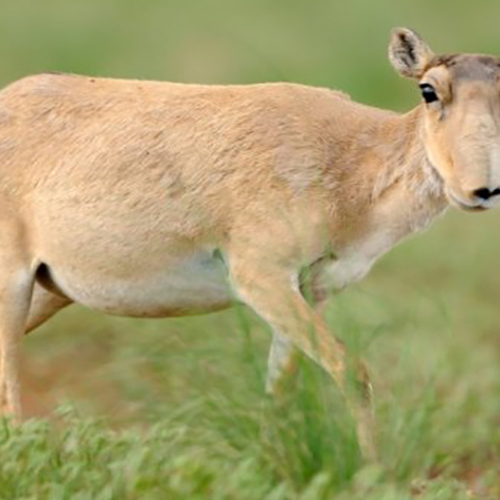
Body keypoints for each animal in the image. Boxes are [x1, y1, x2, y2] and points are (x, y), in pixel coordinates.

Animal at [0, 28, 500, 458]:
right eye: (428, 90)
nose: (482, 190)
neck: (352, 162)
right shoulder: (260, 277)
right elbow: (352, 370)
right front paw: (374, 471)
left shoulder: (311, 291)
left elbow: (280, 388)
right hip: (13, 283)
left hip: (51, 291)